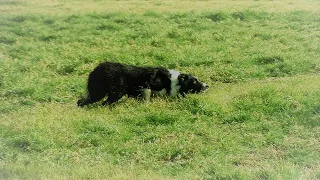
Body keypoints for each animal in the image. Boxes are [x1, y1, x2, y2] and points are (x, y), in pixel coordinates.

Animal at [77, 62, 208, 107]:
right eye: (194, 80)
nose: (207, 86)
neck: (172, 81)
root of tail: (96, 69)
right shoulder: (146, 86)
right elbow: (147, 97)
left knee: (80, 101)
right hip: (113, 92)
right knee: (101, 103)